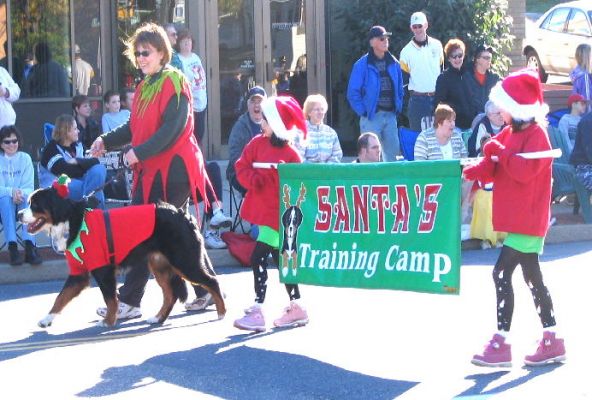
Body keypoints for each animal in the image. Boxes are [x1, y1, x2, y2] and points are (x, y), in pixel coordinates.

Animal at [19, 184, 227, 328]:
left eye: (35, 204)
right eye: (29, 203)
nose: (19, 214)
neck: (71, 221)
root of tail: (183, 214)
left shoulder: (103, 270)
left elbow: (110, 299)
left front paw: (108, 321)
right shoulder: (79, 273)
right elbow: (60, 298)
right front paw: (46, 319)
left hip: (184, 261)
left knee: (212, 281)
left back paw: (222, 312)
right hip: (159, 265)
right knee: (171, 294)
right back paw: (158, 318)